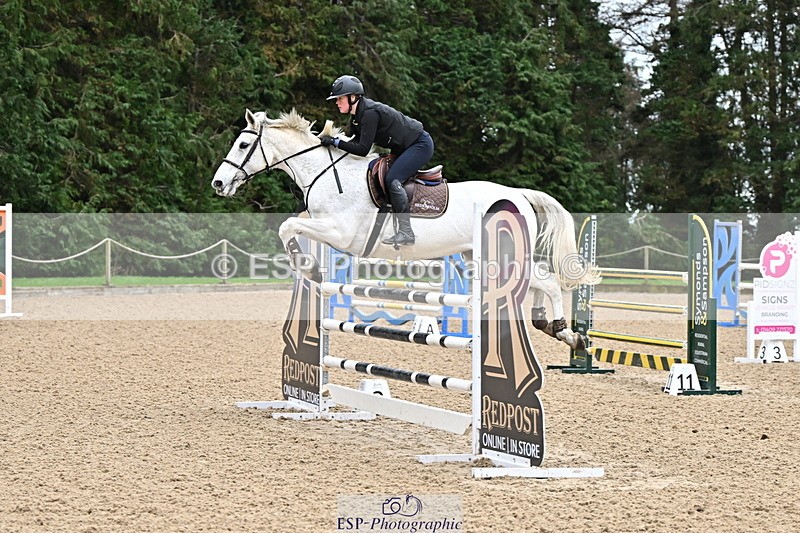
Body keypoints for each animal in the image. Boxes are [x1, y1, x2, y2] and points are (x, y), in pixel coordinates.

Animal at [211, 109, 599, 350]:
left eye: (243, 144)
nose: (218, 183)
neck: (326, 173)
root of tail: (518, 194)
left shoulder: (340, 232)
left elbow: (288, 226)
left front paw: (310, 268)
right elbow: (289, 226)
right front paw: (310, 267)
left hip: (500, 258)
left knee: (548, 281)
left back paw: (568, 334)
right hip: (481, 258)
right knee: (541, 280)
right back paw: (546, 324)